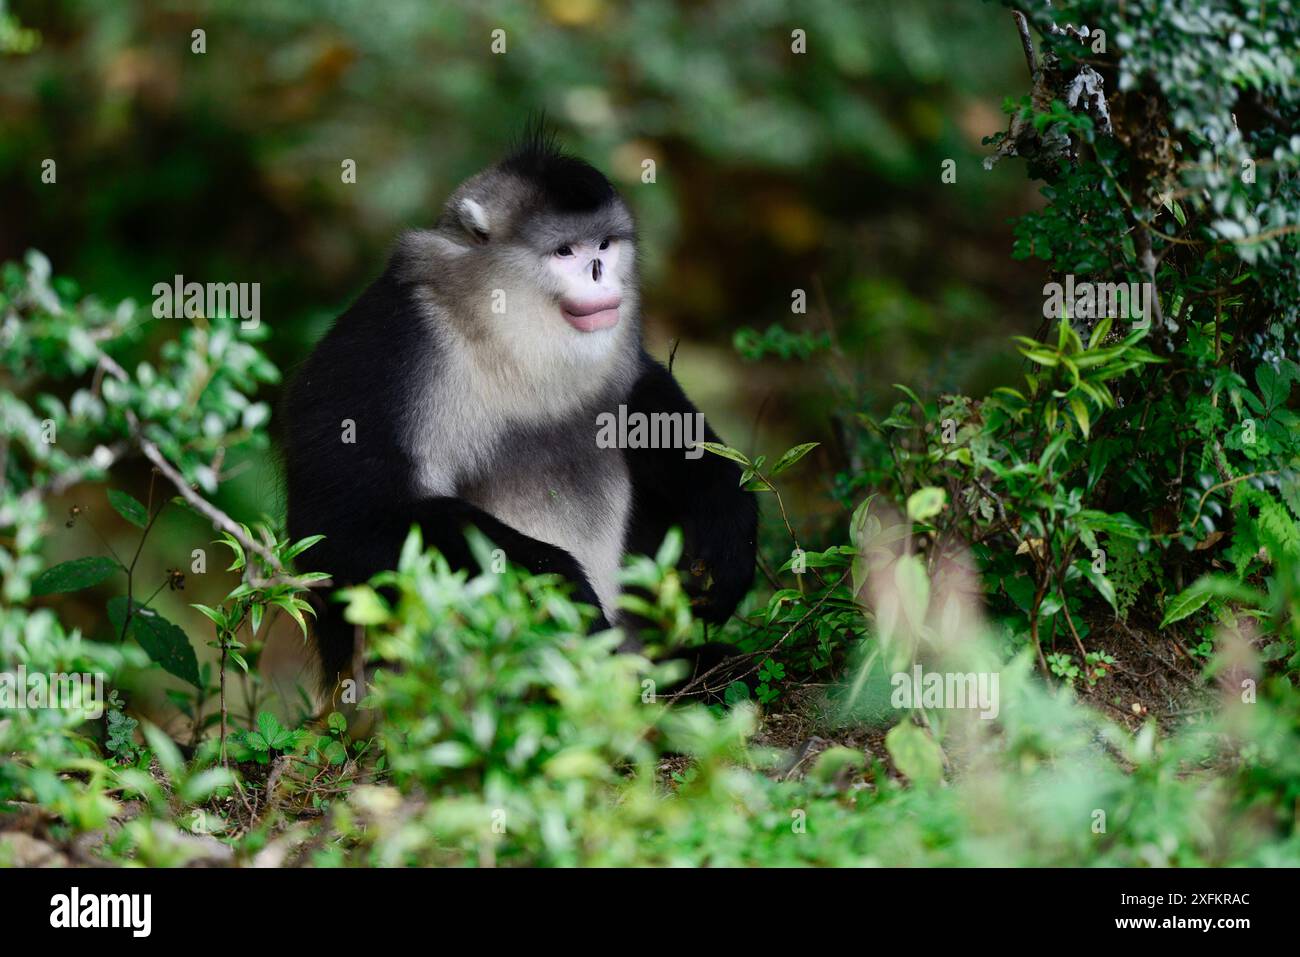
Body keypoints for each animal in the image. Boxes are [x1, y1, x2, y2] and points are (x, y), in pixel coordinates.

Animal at [282, 131, 758, 697]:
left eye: (604, 246)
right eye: (565, 252)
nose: (599, 274)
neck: (498, 332)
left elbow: (648, 405)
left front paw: (728, 518)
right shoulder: (389, 345)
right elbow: (339, 525)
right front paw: (560, 586)